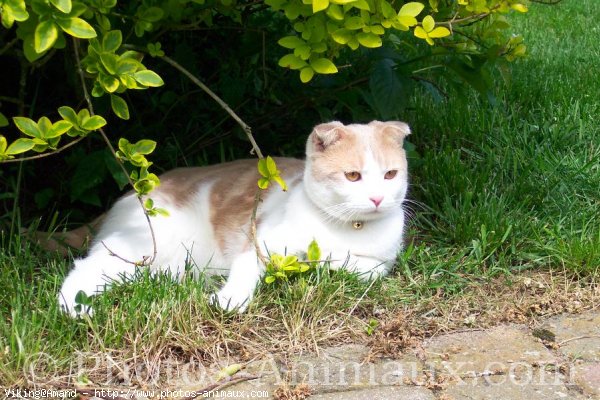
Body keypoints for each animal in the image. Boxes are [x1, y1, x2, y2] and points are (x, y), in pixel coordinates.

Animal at [58, 119, 410, 316]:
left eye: (390, 174)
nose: (377, 198)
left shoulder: (380, 265)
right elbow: (245, 268)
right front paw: (230, 299)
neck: (348, 228)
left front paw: (316, 263)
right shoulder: (260, 239)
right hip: (147, 242)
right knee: (88, 266)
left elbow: (359, 268)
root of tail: (138, 190)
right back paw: (75, 308)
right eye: (353, 176)